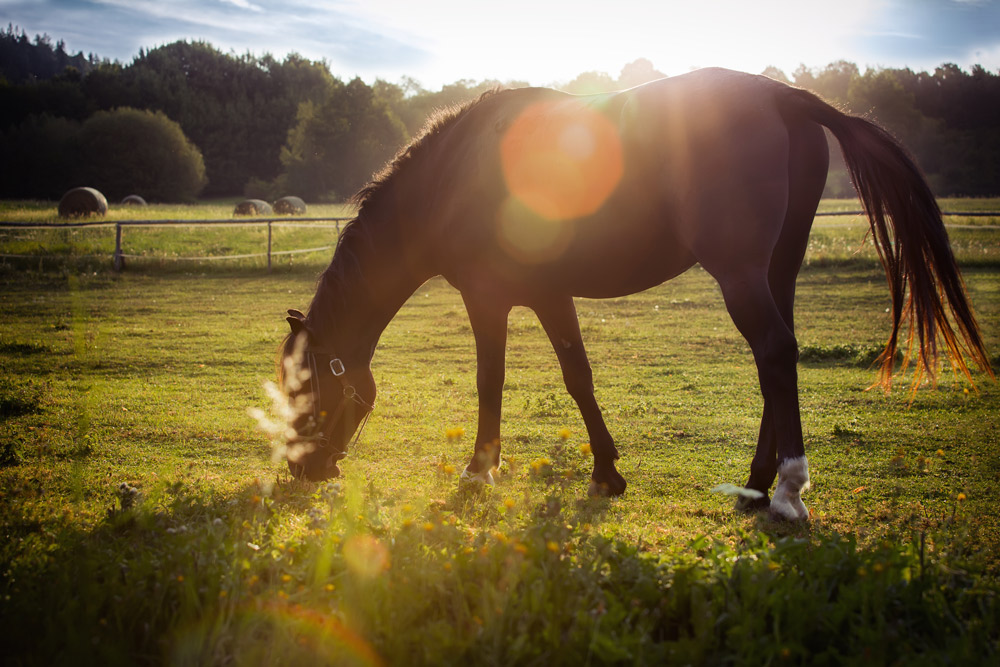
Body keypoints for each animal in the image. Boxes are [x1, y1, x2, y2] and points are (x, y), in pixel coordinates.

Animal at [276, 68, 992, 520]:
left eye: (308, 388)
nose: (304, 472)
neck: (455, 176)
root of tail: (784, 96)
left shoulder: (491, 298)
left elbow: (494, 382)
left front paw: (481, 472)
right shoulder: (549, 295)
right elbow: (579, 376)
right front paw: (607, 472)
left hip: (739, 273)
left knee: (774, 351)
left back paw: (788, 490)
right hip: (776, 270)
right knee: (777, 359)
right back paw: (756, 485)